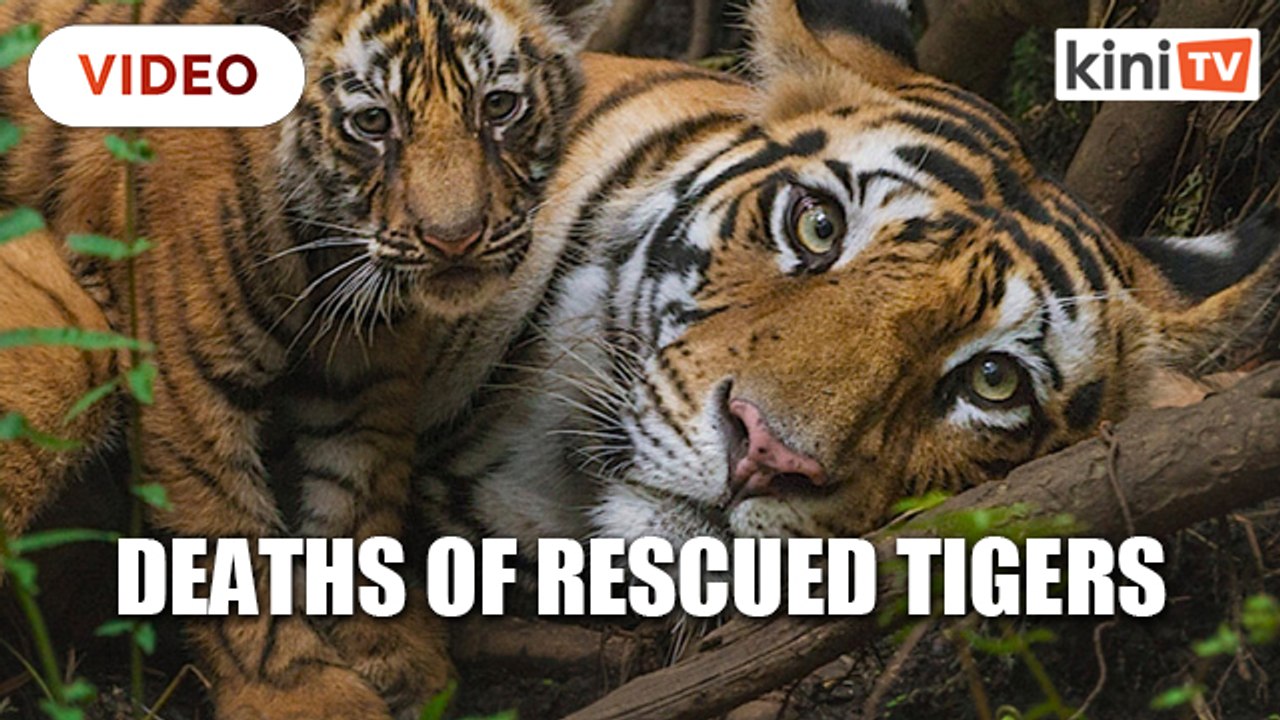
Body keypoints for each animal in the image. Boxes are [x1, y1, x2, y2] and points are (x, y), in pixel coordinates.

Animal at [0, 0, 608, 717]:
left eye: (500, 106)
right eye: (372, 122)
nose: (454, 241)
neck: (327, 251)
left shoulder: (367, 370)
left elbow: (359, 497)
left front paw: (393, 655)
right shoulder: (187, 379)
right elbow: (226, 536)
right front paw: (298, 692)